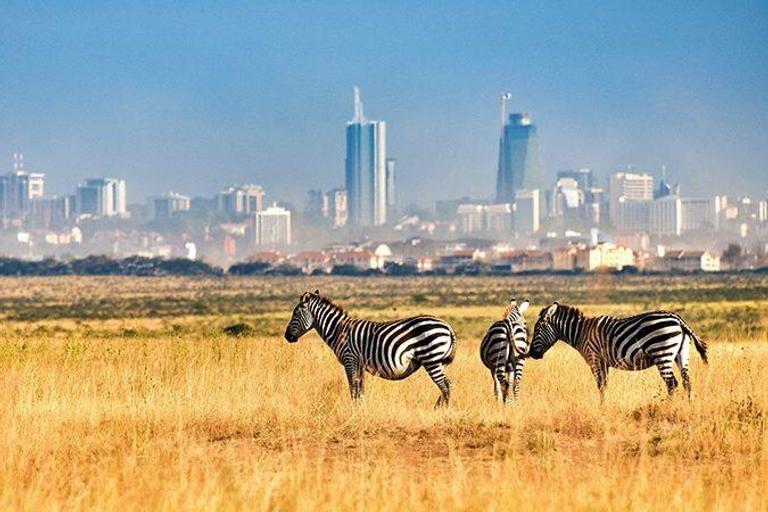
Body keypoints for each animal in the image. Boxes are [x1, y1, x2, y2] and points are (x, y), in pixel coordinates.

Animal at [284, 290, 458, 407]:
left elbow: (353, 387)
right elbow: (360, 389)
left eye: (295, 314)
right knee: (447, 385)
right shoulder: (359, 363)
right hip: (437, 361)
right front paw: (362, 409)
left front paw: (355, 411)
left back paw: (440, 410)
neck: (339, 330)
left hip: (431, 359)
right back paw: (439, 408)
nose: (287, 337)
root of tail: (448, 326)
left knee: (445, 385)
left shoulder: (350, 359)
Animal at [528, 302, 708, 401]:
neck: (581, 332)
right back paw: (688, 407)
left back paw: (667, 408)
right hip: (681, 354)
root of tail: (678, 320)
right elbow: (605, 385)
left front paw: (601, 409)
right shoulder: (604, 362)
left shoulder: (594, 359)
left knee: (672, 384)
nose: (532, 354)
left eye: (537, 329)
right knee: (687, 382)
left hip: (662, 353)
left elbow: (600, 385)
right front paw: (604, 406)